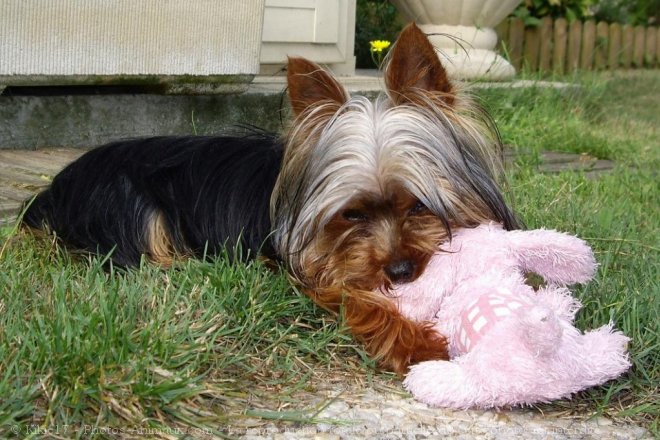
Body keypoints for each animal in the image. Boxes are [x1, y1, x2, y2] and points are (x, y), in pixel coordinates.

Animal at [20, 24, 520, 374]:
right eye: (352, 214)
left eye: (418, 205)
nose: (399, 271)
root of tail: (54, 185)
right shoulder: (305, 267)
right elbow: (349, 295)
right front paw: (415, 341)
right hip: (131, 210)